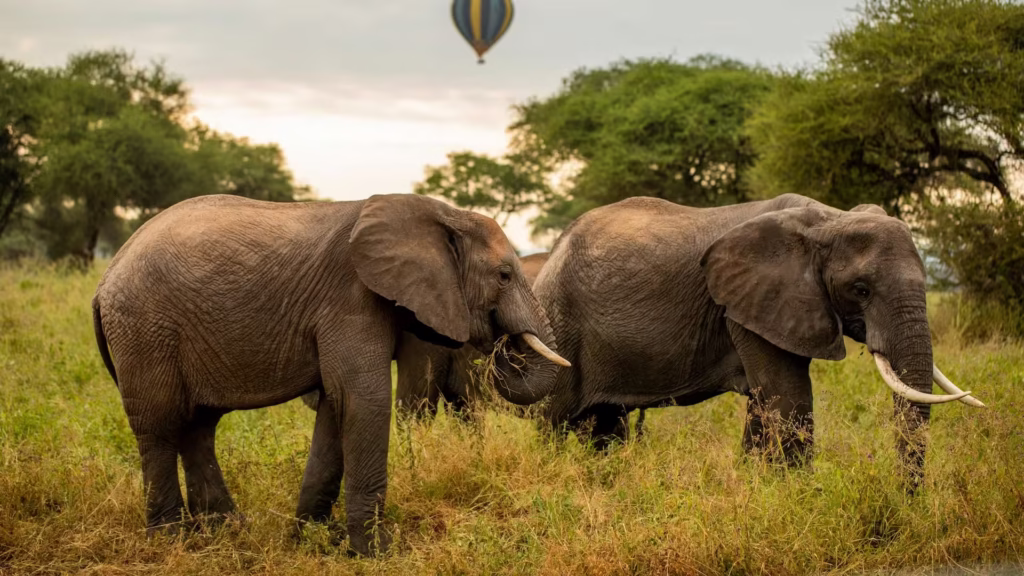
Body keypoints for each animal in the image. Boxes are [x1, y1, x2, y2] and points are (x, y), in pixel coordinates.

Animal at [91, 193, 569, 556]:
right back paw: (172, 540)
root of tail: (106, 277)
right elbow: (364, 400)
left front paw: (314, 540)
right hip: (144, 330)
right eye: (504, 275)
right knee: (160, 426)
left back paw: (228, 530)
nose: (502, 346)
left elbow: (335, 407)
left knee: (199, 426)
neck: (439, 213)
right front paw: (378, 551)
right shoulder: (352, 299)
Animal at [501, 193, 982, 479]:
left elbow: (765, 401)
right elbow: (789, 398)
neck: (828, 219)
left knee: (605, 423)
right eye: (861, 290)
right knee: (553, 420)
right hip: (558, 326)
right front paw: (801, 498)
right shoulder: (749, 303)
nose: (906, 497)